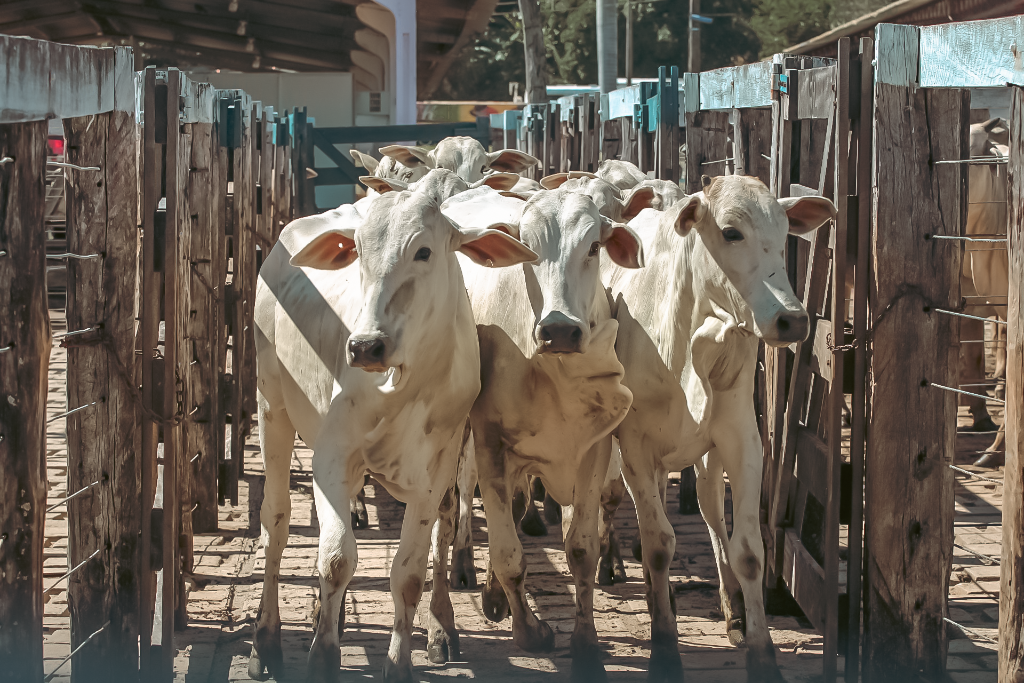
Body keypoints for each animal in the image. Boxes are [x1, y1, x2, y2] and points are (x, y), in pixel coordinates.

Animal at [249, 166, 536, 683]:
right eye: (359, 251)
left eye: (423, 250)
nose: (365, 346)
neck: (405, 386)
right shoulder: (332, 457)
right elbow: (336, 560)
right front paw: (322, 656)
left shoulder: (434, 475)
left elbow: (408, 574)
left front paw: (399, 661)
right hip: (271, 406)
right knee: (276, 523)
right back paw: (266, 640)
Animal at [436, 184, 643, 679]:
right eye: (527, 249)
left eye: (594, 246)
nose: (559, 330)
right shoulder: (490, 444)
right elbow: (508, 555)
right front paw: (530, 632)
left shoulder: (594, 450)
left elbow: (582, 550)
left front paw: (586, 646)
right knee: (447, 518)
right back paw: (444, 630)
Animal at [602, 176, 835, 683]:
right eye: (731, 232)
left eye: (785, 230)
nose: (792, 319)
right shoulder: (633, 448)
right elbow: (658, 545)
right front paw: (664, 649)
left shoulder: (740, 439)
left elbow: (747, 549)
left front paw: (761, 653)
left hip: (706, 460)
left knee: (710, 514)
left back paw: (730, 613)